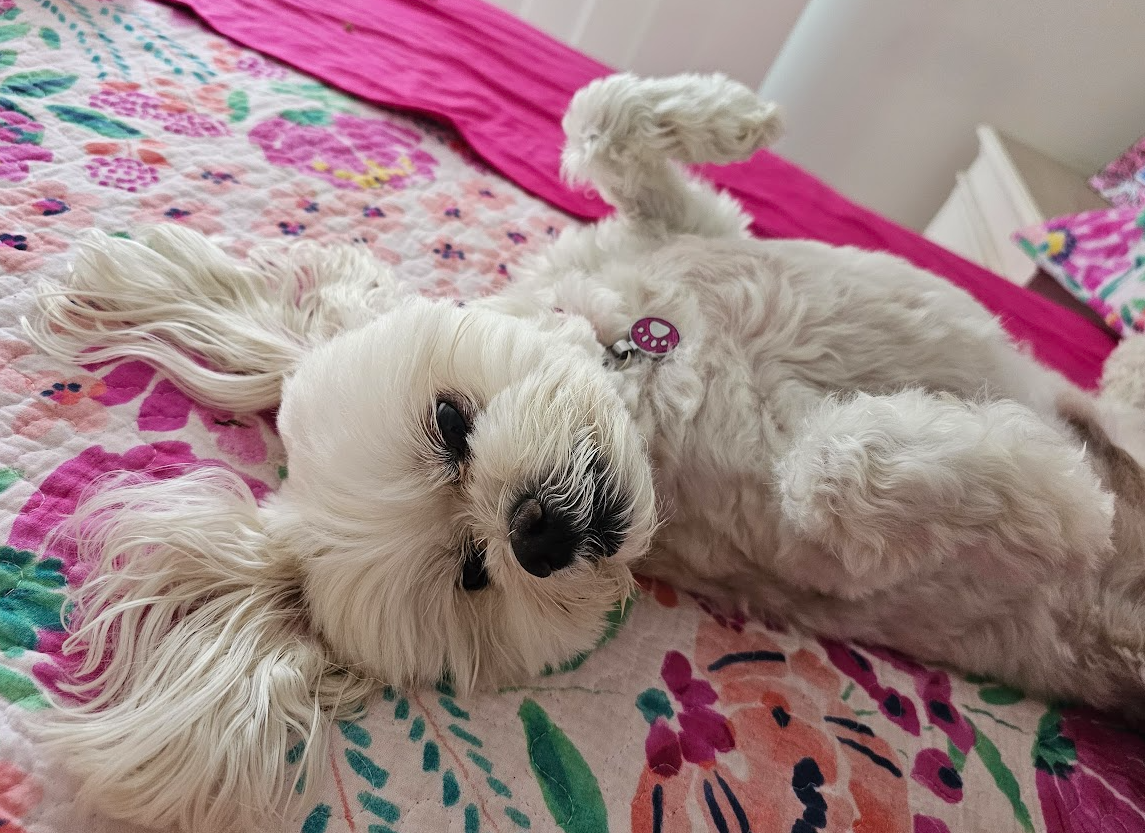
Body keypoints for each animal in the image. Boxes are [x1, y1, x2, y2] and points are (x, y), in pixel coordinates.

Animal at [24, 73, 1145, 832]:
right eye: (474, 573)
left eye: (449, 423)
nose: (535, 530)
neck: (652, 370)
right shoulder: (818, 544)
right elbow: (843, 463)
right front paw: (1050, 485)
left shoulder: (690, 229)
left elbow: (599, 118)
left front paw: (740, 116)